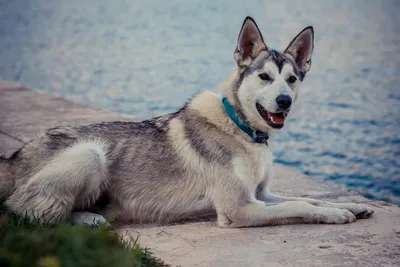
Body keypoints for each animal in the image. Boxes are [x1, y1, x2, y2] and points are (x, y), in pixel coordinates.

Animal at [0, 16, 376, 228]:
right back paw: (88, 219)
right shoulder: (240, 208)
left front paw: (353, 206)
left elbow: (317, 199)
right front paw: (336, 216)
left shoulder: (262, 195)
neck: (240, 128)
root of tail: (15, 158)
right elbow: (301, 204)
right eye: (265, 77)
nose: (284, 101)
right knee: (25, 212)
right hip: (89, 154)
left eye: (292, 79)